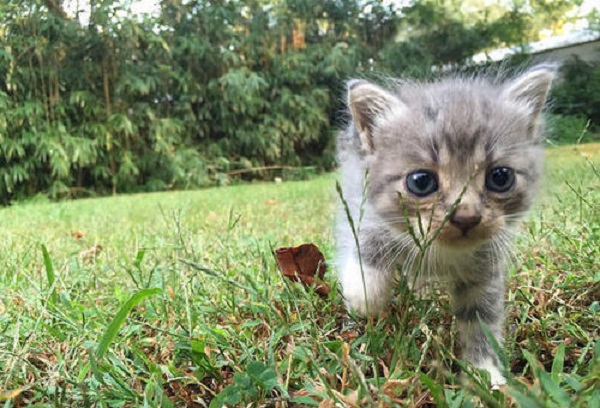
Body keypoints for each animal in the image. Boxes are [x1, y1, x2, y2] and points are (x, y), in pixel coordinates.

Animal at [336, 64, 556, 386]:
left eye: (500, 177)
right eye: (421, 181)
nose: (466, 216)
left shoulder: (484, 270)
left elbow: (481, 320)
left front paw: (486, 373)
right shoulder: (362, 207)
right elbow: (367, 244)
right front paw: (364, 296)